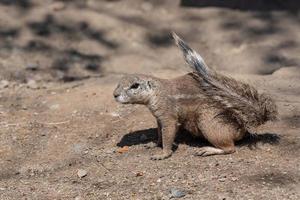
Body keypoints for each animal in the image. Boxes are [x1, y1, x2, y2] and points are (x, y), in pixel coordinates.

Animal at [113, 33, 278, 161]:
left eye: (135, 85)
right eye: (119, 82)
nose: (115, 95)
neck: (157, 93)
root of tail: (242, 125)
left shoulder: (168, 116)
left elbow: (168, 135)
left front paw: (163, 154)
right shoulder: (159, 118)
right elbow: (160, 133)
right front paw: (155, 144)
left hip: (207, 119)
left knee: (230, 148)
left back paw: (207, 149)